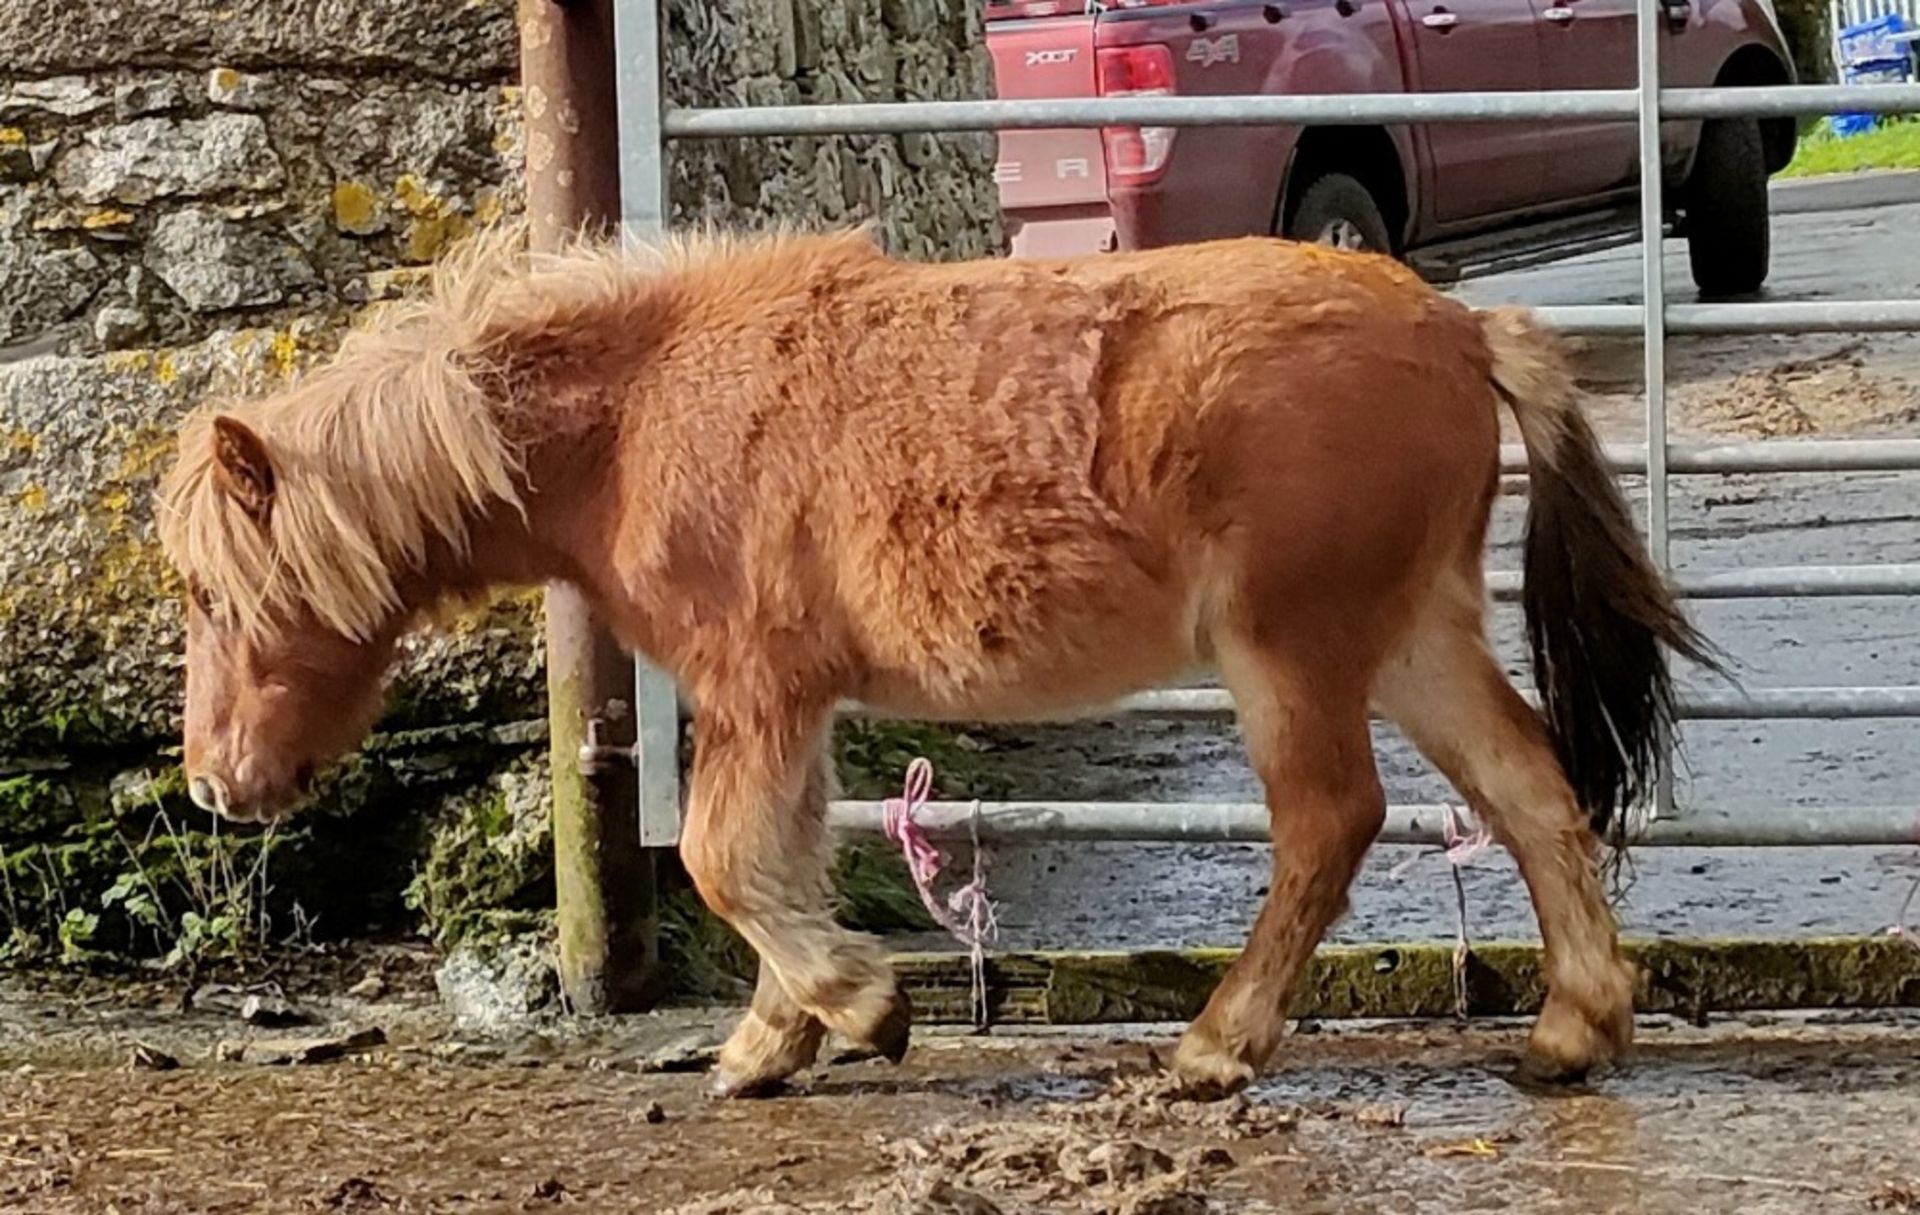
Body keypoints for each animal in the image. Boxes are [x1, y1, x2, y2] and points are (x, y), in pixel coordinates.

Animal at [157, 222, 1704, 1097]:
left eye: (215, 592)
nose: (216, 785)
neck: (644, 411)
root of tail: (1459, 323)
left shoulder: (751, 685)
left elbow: (724, 857)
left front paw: (858, 1008)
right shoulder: (792, 703)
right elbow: (778, 854)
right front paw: (777, 1040)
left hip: (1296, 651)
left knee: (1334, 822)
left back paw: (1219, 1045)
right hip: (1413, 638)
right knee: (1532, 791)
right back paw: (1575, 1030)